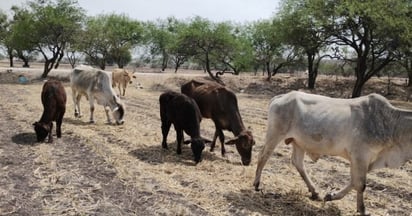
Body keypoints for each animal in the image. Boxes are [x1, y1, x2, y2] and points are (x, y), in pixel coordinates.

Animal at [253, 90, 412, 215]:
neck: (391, 124)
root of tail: (282, 96)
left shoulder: (365, 160)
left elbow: (354, 182)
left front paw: (330, 196)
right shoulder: (360, 155)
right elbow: (360, 184)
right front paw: (362, 210)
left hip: (299, 143)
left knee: (298, 163)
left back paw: (314, 192)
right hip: (274, 135)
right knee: (263, 155)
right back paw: (256, 184)